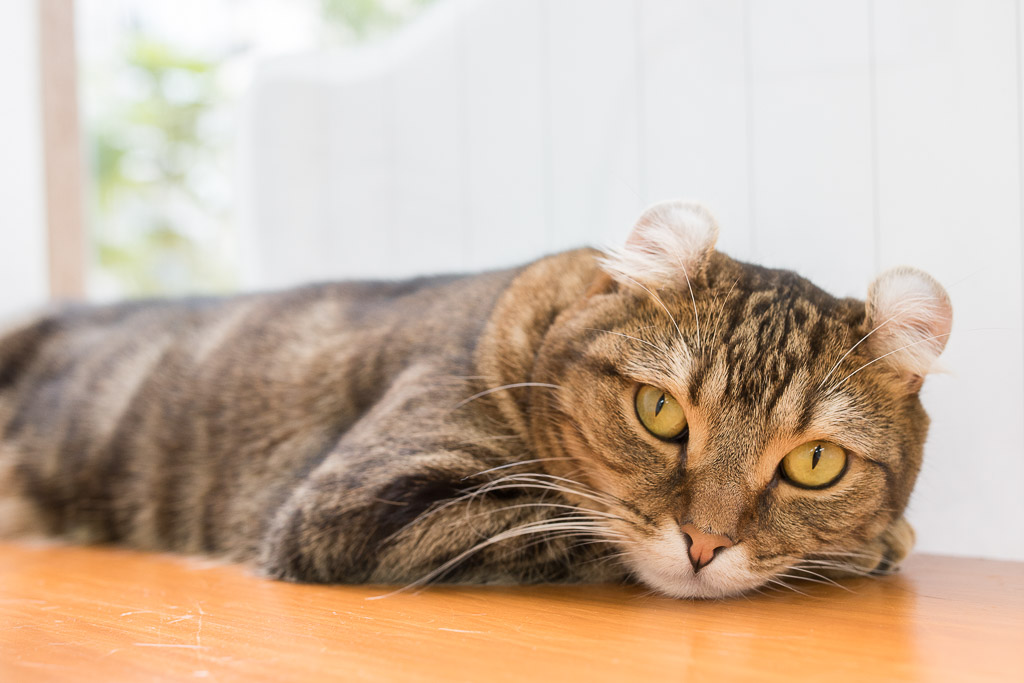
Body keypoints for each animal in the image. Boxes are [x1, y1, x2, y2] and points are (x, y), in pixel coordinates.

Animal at [0, 202, 950, 598]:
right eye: (661, 413)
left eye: (815, 462)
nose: (706, 543)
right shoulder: (359, 502)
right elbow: (563, 524)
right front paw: (874, 546)